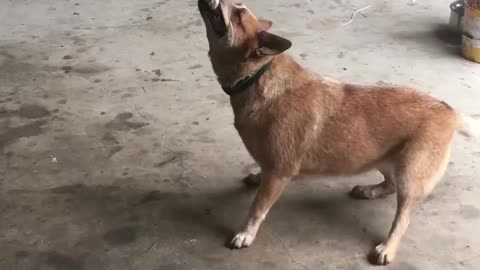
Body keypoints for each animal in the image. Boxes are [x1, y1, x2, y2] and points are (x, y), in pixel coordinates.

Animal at [197, 0, 478, 266]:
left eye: (238, 15)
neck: (258, 74)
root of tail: (448, 110)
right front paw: (256, 175)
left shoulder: (279, 174)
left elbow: (257, 208)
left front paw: (246, 233)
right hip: (380, 157)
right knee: (389, 183)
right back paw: (370, 190)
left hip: (410, 174)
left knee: (403, 217)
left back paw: (388, 246)